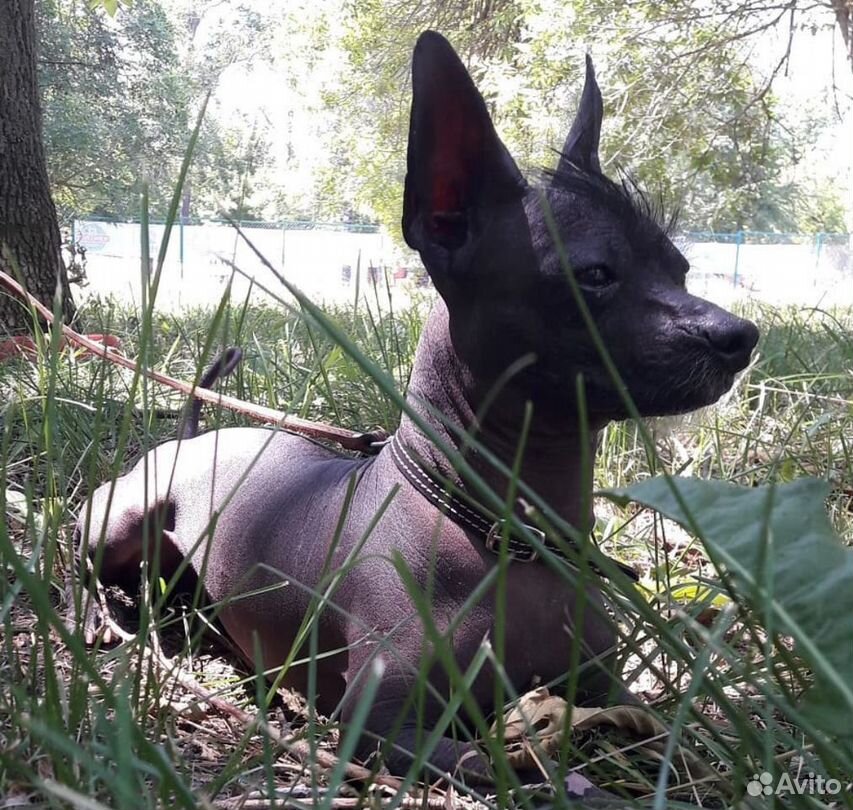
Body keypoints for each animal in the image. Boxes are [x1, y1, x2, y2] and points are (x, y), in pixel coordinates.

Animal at [70, 33, 756, 784]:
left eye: (679, 269)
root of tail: (196, 435)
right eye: (594, 275)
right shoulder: (381, 727)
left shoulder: (613, 691)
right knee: (82, 561)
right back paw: (103, 616)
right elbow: (524, 771)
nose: (741, 337)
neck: (506, 538)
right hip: (120, 518)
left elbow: (686, 745)